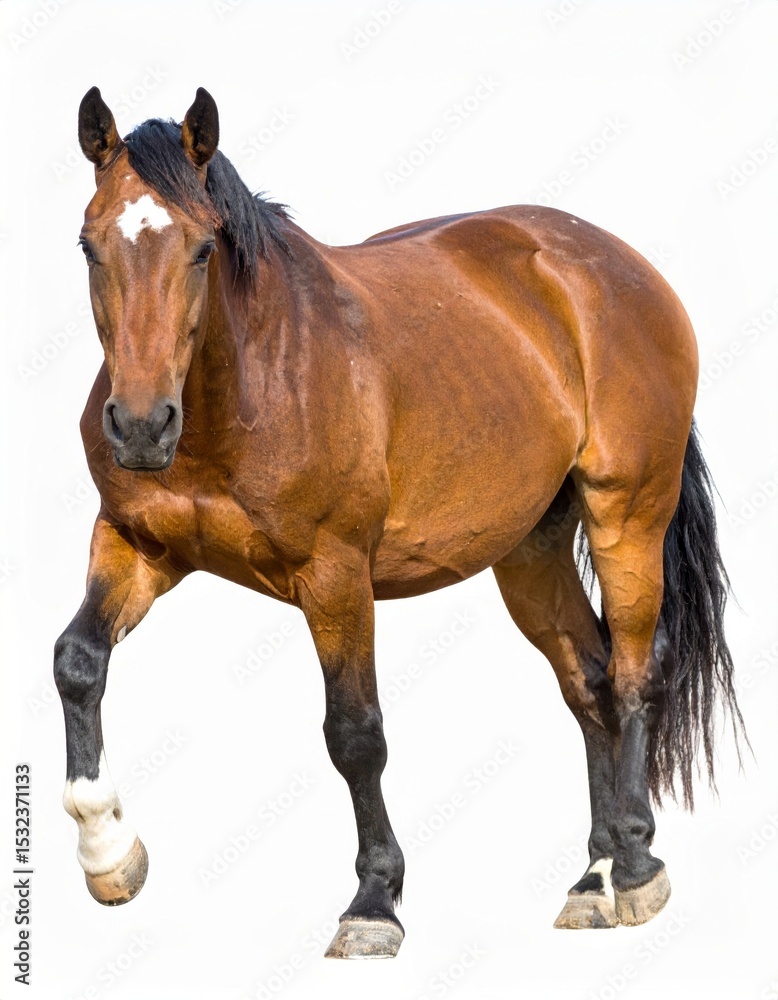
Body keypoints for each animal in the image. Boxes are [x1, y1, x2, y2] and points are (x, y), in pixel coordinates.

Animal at [55, 86, 743, 959]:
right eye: (89, 247)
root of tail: (617, 267)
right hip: (530, 551)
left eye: (203, 249)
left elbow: (355, 733)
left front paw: (374, 901)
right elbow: (77, 663)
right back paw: (593, 879)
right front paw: (109, 852)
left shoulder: (336, 575)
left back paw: (636, 866)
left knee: (631, 675)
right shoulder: (138, 545)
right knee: (586, 681)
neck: (247, 382)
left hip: (629, 514)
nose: (142, 427)